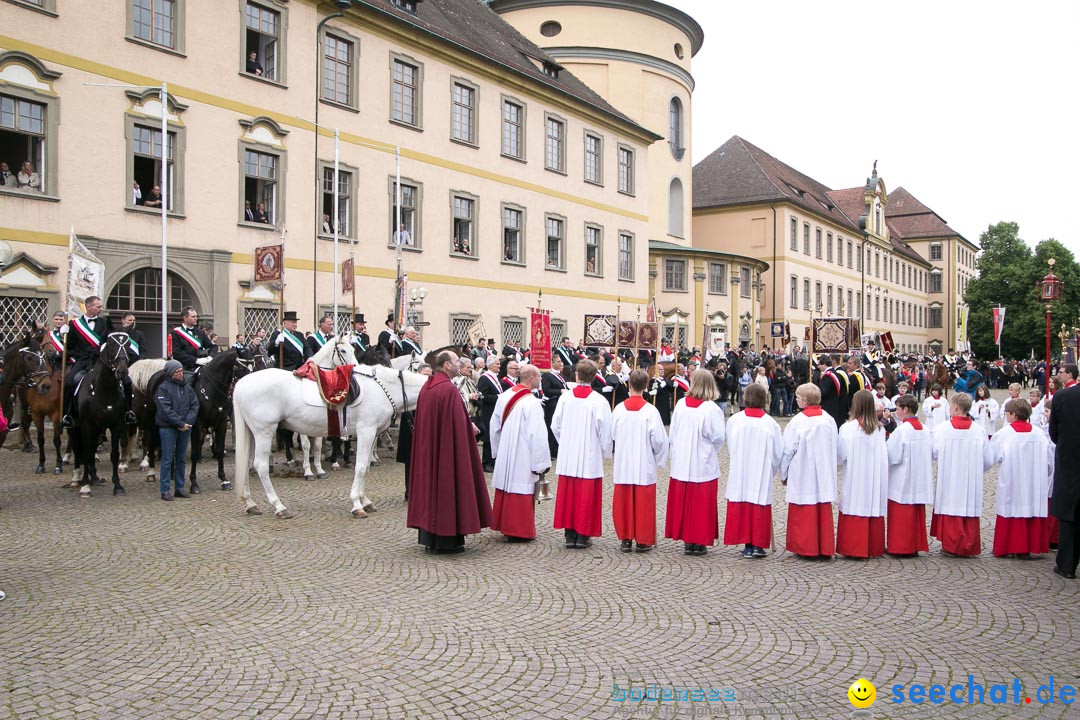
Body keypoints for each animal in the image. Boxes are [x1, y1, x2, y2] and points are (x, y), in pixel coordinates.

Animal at [71, 334, 132, 498]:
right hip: (76, 427)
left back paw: (94, 477)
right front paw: (85, 487)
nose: (122, 372)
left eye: (128, 344)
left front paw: (117, 485)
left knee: (92, 448)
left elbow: (114, 454)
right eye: (111, 345)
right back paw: (79, 478)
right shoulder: (87, 425)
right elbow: (86, 453)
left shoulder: (116, 425)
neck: (104, 390)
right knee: (80, 449)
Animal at [232, 338, 425, 518]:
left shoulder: (372, 434)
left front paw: (364, 500)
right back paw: (279, 506)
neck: (382, 388)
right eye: (379, 356)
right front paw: (357, 504)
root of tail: (241, 384)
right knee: (260, 465)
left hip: (252, 434)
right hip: (264, 432)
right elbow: (361, 467)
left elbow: (366, 467)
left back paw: (250, 503)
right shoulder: (366, 432)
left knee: (247, 463)